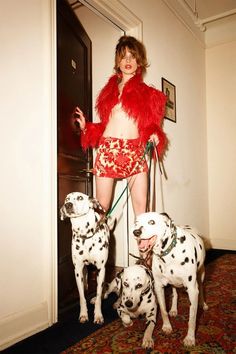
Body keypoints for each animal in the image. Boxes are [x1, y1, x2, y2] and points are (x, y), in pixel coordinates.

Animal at [60, 192, 109, 324]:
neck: (85, 236)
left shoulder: (101, 269)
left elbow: (98, 294)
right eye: (67, 199)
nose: (68, 205)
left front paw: (98, 315)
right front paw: (83, 314)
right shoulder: (77, 269)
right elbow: (82, 296)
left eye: (80, 198)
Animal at [133, 212, 208, 348]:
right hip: (173, 283)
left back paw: (203, 304)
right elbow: (163, 310)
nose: (136, 232)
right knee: (175, 293)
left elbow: (192, 317)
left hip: (201, 275)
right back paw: (173, 309)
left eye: (152, 222)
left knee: (201, 288)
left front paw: (190, 338)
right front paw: (167, 326)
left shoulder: (192, 290)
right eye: (136, 222)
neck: (169, 252)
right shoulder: (159, 287)